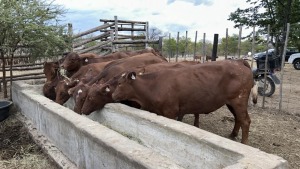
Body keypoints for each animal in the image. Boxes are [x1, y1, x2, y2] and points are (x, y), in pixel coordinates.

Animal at [111, 59, 256, 144]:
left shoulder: (170, 112)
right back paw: (232, 135)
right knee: (239, 118)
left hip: (239, 100)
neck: (154, 85)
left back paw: (244, 143)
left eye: (119, 83)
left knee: (245, 121)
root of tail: (239, 61)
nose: (113, 95)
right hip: (231, 102)